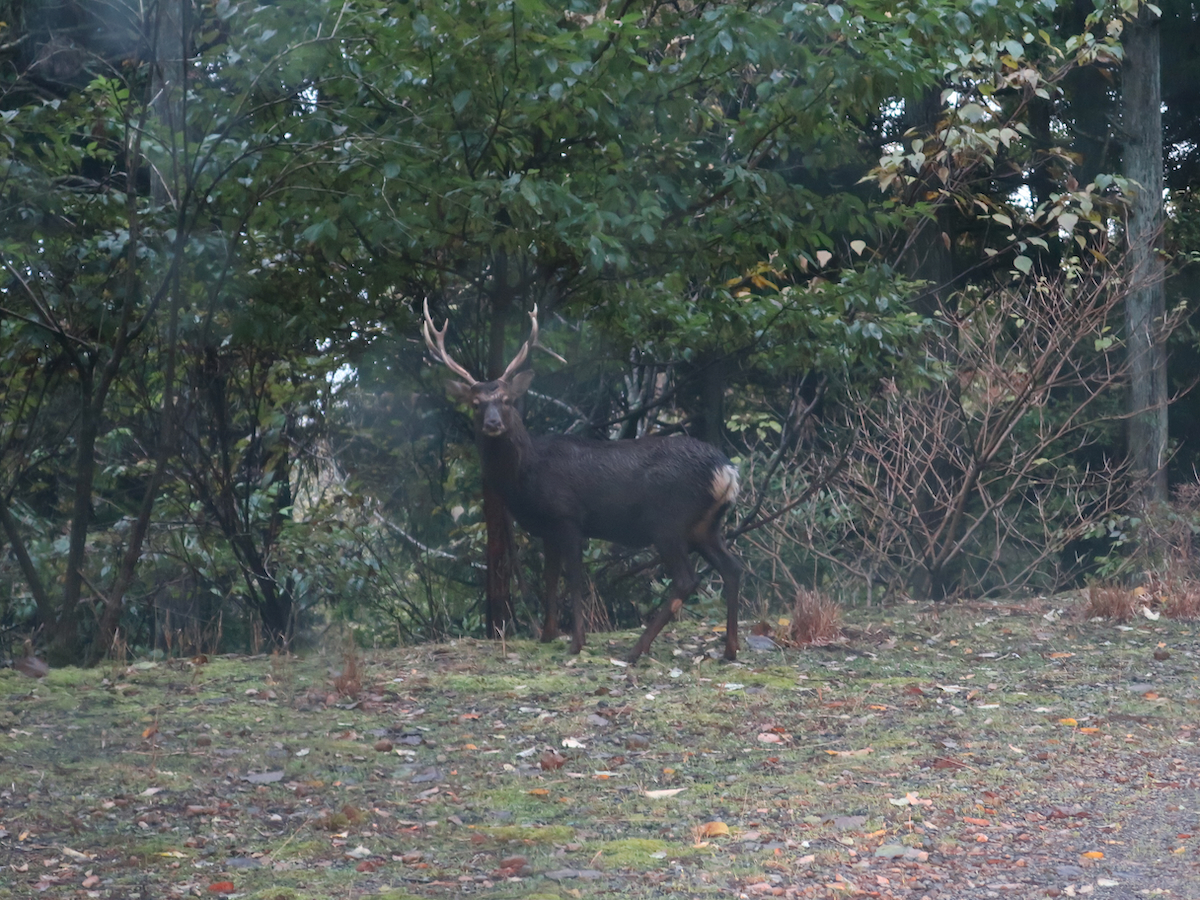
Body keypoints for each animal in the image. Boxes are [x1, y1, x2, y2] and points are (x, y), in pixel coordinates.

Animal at [422, 303, 739, 662]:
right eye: (476, 403)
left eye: (505, 400)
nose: (492, 424)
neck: (527, 475)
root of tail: (727, 471)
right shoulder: (547, 528)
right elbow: (549, 578)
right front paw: (546, 635)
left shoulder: (568, 516)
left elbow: (573, 578)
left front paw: (576, 641)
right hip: (705, 525)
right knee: (732, 569)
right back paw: (729, 649)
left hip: (668, 519)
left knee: (686, 579)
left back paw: (636, 650)